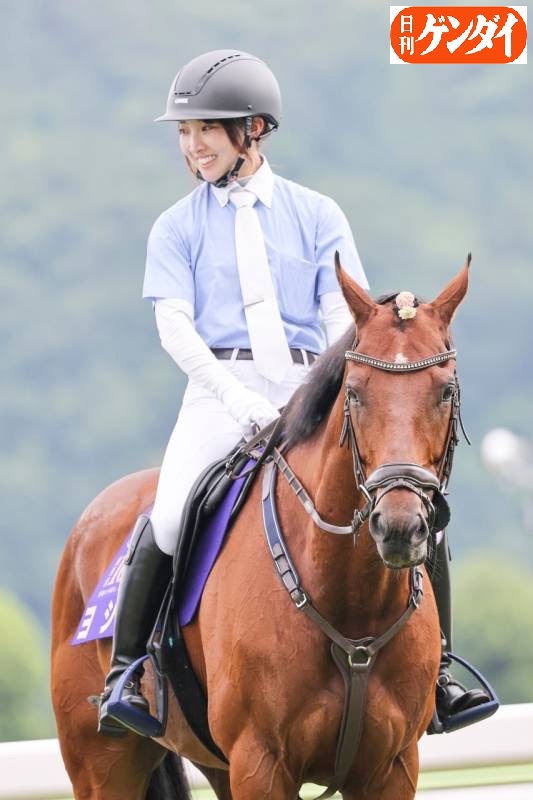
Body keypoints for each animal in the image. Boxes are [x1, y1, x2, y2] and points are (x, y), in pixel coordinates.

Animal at [51, 259, 470, 799]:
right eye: (355, 392)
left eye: (446, 390)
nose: (399, 526)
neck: (349, 600)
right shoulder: (261, 762)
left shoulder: (392, 768)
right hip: (103, 765)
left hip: (216, 764)